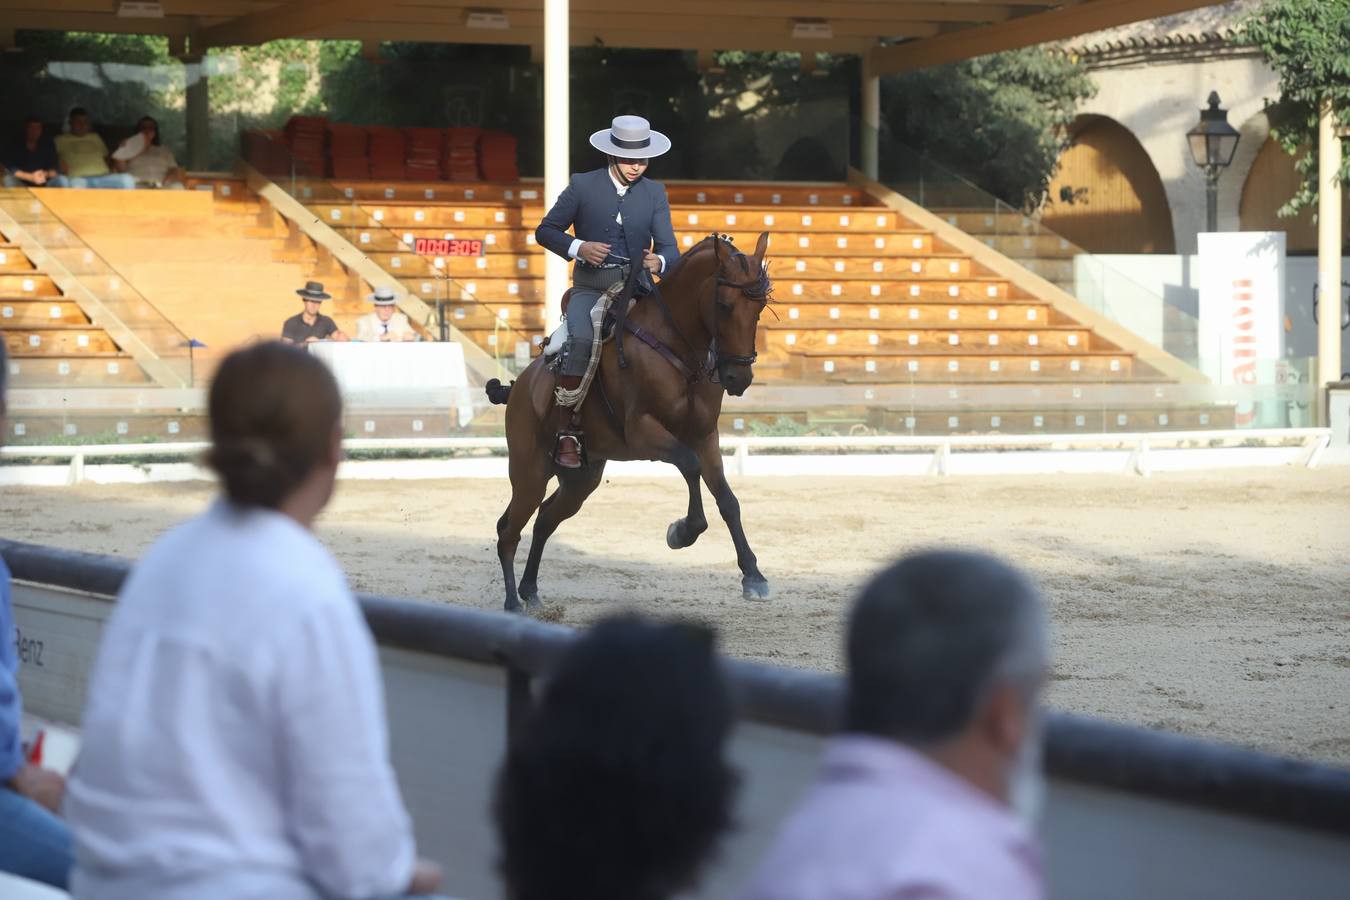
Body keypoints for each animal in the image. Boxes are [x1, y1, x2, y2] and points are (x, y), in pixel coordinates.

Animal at [488, 232, 777, 612]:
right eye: (725, 305)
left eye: (759, 308)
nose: (738, 377)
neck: (677, 347)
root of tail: (519, 385)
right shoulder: (642, 432)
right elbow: (689, 464)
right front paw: (682, 532)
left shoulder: (705, 435)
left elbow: (728, 499)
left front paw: (753, 576)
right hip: (530, 473)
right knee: (508, 530)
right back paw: (511, 602)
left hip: (580, 480)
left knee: (545, 519)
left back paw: (530, 589)